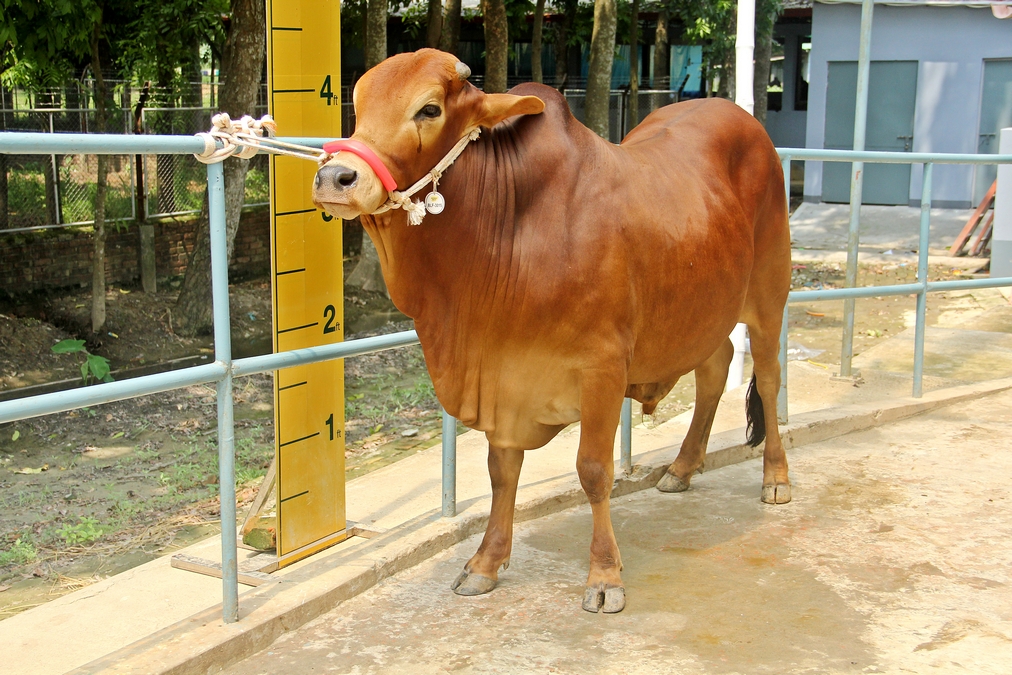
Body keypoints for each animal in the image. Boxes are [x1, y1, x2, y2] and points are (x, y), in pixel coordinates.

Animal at [312, 49, 791, 614]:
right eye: (358, 102)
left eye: (429, 109)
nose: (336, 176)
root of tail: (739, 115)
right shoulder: (504, 378)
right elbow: (502, 473)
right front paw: (485, 563)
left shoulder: (602, 368)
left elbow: (593, 470)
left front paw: (604, 576)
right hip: (705, 311)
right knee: (715, 372)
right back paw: (681, 468)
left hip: (770, 294)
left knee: (768, 380)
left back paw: (776, 478)